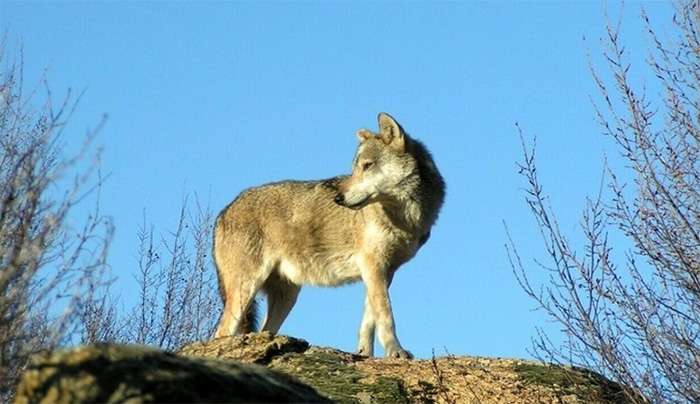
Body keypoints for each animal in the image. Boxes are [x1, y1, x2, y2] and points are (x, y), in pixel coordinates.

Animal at [211, 112, 446, 358]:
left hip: (287, 296)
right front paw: (396, 351)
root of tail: (223, 212)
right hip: (246, 290)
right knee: (221, 333)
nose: (338, 199)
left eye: (367, 166)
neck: (405, 218)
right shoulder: (373, 265)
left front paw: (364, 354)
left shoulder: (383, 271)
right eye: (354, 168)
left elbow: (368, 320)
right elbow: (386, 315)